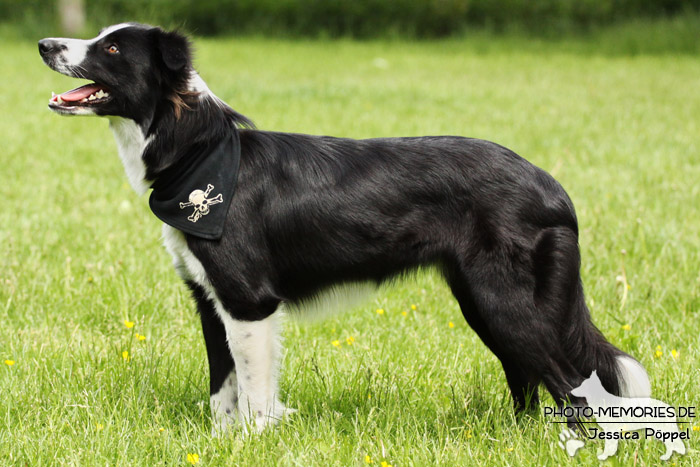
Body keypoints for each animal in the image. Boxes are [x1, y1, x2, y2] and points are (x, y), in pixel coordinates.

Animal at [38, 23, 652, 436]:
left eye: (111, 49)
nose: (44, 45)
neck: (196, 150)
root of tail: (553, 187)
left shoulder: (249, 299)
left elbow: (254, 390)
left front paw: (255, 441)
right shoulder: (209, 298)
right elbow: (222, 389)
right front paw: (223, 442)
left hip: (508, 301)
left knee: (569, 384)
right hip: (484, 302)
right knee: (528, 377)